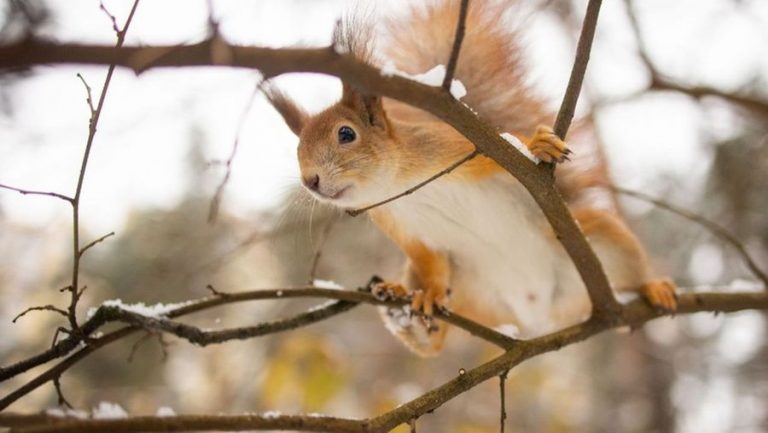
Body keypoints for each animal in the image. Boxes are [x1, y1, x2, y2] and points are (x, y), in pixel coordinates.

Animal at [268, 0, 676, 354]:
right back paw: (407, 316)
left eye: (346, 134)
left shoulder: (456, 151)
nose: (310, 181)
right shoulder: (403, 227)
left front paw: (536, 144)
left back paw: (652, 289)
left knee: (628, 270)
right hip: (469, 293)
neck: (397, 184)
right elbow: (430, 262)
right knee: (435, 339)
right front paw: (430, 295)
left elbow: (504, 153)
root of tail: (538, 317)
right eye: (298, 148)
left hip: (605, 240)